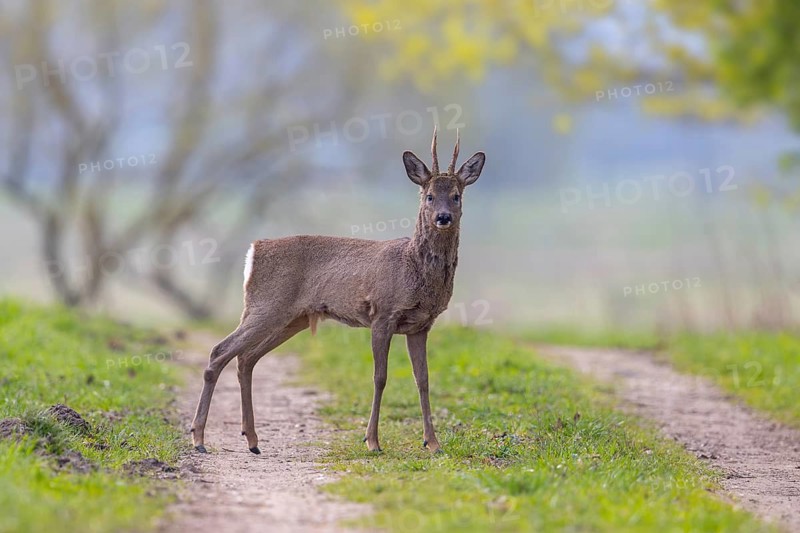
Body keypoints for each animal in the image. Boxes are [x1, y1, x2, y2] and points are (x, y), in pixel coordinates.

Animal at [190, 127, 485, 454]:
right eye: (429, 195)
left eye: (457, 196)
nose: (443, 217)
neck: (413, 267)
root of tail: (253, 252)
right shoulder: (382, 314)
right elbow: (380, 377)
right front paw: (372, 441)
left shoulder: (421, 325)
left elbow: (423, 379)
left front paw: (432, 443)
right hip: (266, 305)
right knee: (220, 351)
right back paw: (199, 438)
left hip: (290, 318)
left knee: (246, 358)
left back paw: (252, 440)